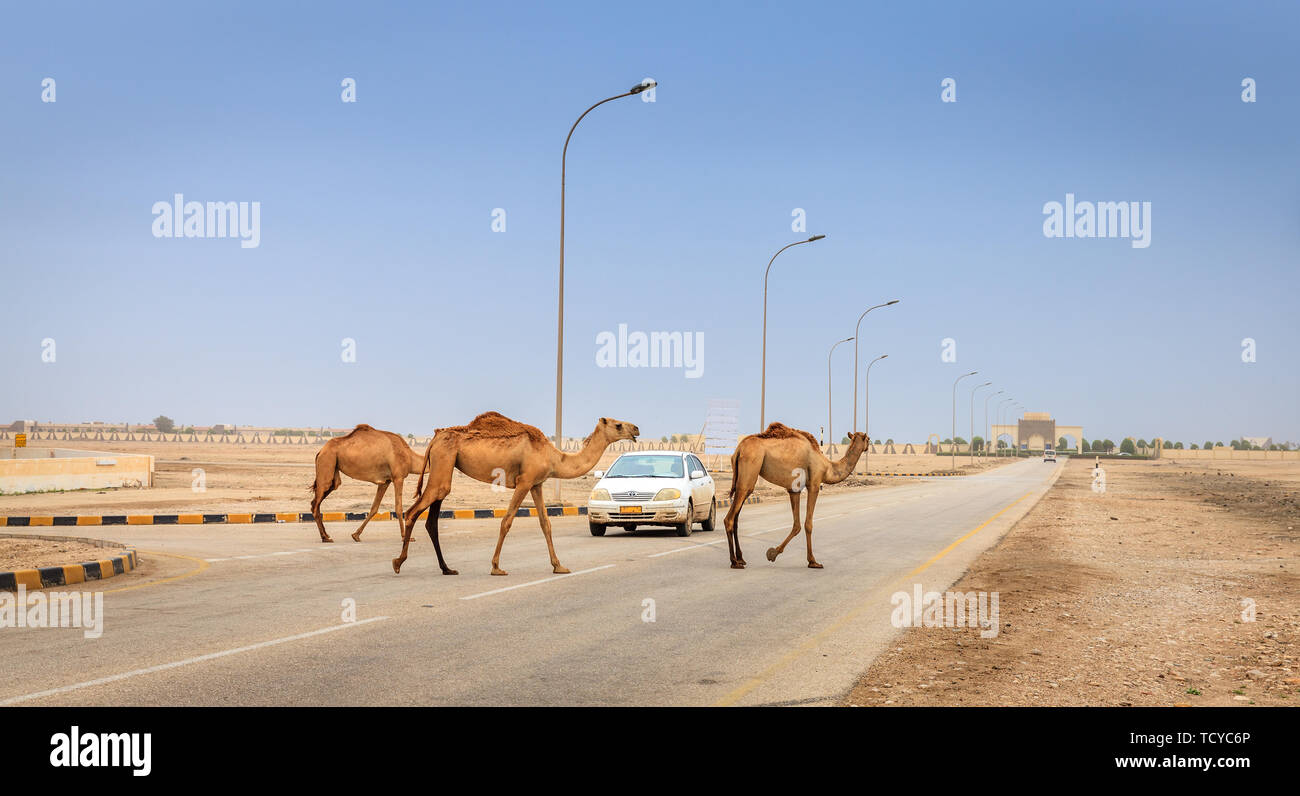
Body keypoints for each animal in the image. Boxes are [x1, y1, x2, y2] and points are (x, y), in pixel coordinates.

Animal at [395, 413, 639, 574]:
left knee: (431, 517)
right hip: (444, 460)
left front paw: (559, 566)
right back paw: (398, 562)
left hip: (445, 464)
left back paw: (446, 569)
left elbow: (545, 523)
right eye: (618, 425)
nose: (636, 429)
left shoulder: (536, 484)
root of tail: (436, 437)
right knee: (414, 511)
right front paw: (496, 567)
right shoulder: (524, 481)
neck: (553, 457)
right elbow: (507, 520)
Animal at [722, 426, 873, 569]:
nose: (868, 445)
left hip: (744, 478)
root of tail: (739, 450)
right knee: (729, 518)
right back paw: (734, 562)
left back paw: (741, 559)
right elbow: (808, 524)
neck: (827, 467)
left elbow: (797, 525)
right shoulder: (814, 484)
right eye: (868, 439)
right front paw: (813, 561)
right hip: (749, 470)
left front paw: (773, 553)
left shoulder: (794, 490)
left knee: (736, 518)